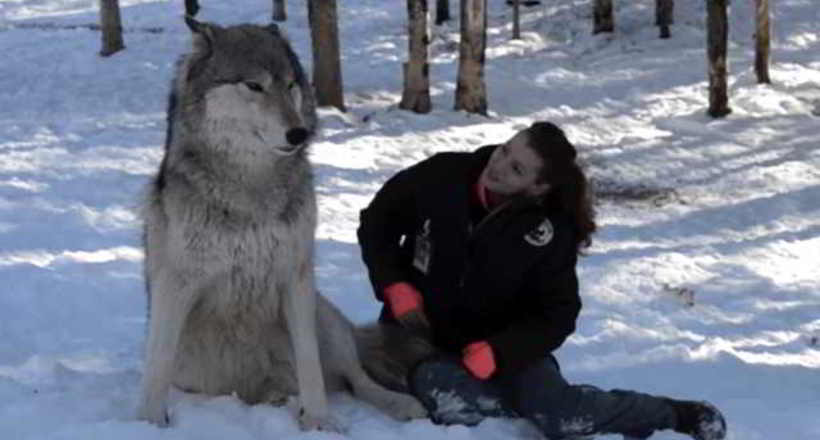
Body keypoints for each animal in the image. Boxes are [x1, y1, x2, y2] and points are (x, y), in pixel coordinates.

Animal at [136, 18, 422, 434]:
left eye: (290, 85)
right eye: (254, 86)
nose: (298, 133)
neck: (251, 189)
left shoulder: (295, 277)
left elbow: (310, 364)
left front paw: (319, 422)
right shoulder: (176, 283)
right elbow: (156, 363)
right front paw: (149, 422)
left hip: (325, 318)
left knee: (356, 379)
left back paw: (401, 404)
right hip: (195, 369)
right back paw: (277, 399)